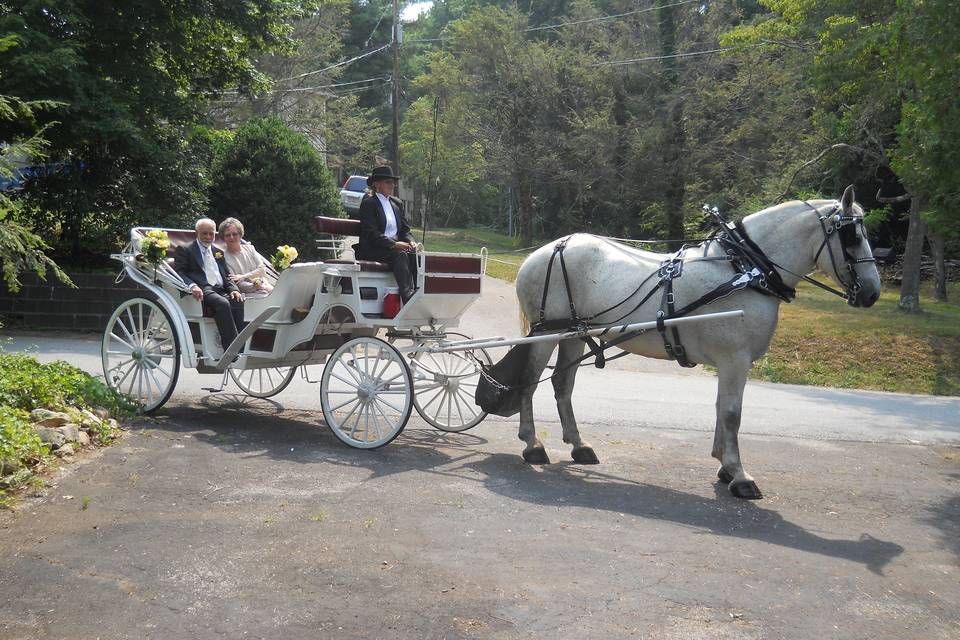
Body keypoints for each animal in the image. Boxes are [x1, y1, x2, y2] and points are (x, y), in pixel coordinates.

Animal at [512, 185, 880, 500]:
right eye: (852, 237)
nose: (873, 293)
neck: (744, 270)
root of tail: (542, 252)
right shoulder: (735, 359)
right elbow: (732, 413)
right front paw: (739, 475)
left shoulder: (730, 362)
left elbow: (720, 408)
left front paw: (724, 466)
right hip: (546, 334)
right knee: (528, 382)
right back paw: (533, 445)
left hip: (572, 335)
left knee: (562, 384)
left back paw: (579, 445)